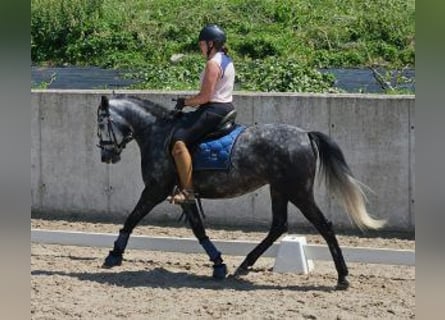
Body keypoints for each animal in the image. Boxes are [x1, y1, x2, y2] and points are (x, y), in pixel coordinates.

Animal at [95, 95, 384, 290]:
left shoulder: (155, 189)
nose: (106, 156)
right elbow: (198, 229)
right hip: (279, 189)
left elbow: (132, 218)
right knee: (279, 225)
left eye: (100, 124)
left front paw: (114, 255)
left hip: (298, 191)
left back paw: (343, 277)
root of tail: (305, 135)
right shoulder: (184, 195)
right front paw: (218, 264)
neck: (158, 132)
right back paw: (243, 266)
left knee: (323, 225)